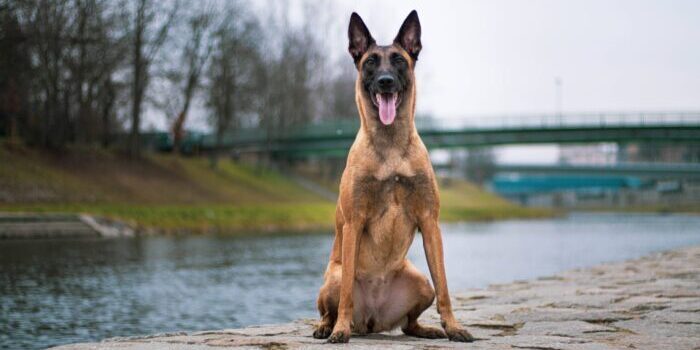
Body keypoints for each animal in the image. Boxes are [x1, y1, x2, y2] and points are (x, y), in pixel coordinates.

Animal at [314, 10, 474, 344]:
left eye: (399, 60)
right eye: (370, 62)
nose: (385, 81)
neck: (390, 147)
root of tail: (372, 319)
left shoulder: (430, 222)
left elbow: (445, 288)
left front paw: (453, 327)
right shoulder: (354, 222)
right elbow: (346, 294)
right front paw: (339, 331)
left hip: (420, 281)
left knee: (409, 323)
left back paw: (426, 330)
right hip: (333, 276)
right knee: (330, 306)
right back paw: (327, 327)